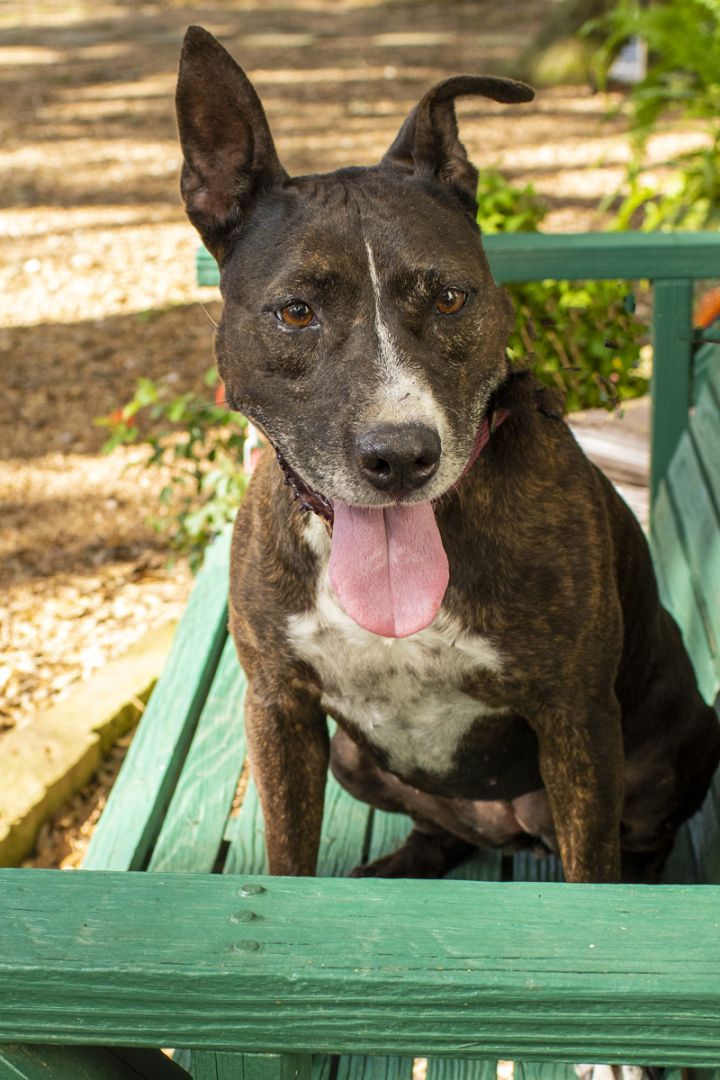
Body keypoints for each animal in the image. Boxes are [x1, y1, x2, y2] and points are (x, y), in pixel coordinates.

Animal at [174, 25, 720, 889]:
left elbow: (593, 876)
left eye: (451, 298)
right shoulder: (279, 708)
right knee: (439, 829)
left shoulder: (576, 716)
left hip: (679, 741)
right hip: (356, 763)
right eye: (295, 312)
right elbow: (288, 858)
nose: (400, 457)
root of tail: (509, 830)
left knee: (636, 839)